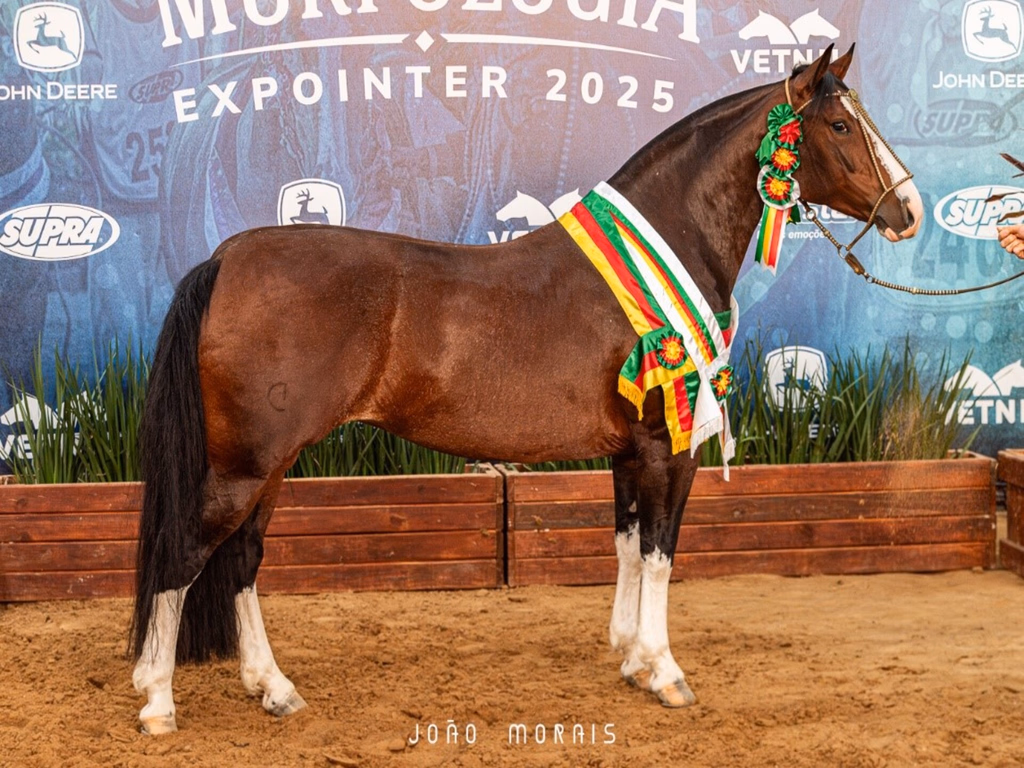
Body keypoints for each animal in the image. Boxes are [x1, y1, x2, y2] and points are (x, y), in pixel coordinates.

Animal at [130, 45, 923, 734]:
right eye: (840, 125)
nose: (909, 210)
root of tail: (228, 258)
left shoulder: (627, 451)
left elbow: (626, 545)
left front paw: (631, 660)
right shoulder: (668, 445)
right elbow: (661, 552)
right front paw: (665, 672)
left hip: (268, 465)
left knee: (242, 561)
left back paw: (273, 689)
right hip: (247, 465)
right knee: (183, 555)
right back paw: (158, 703)